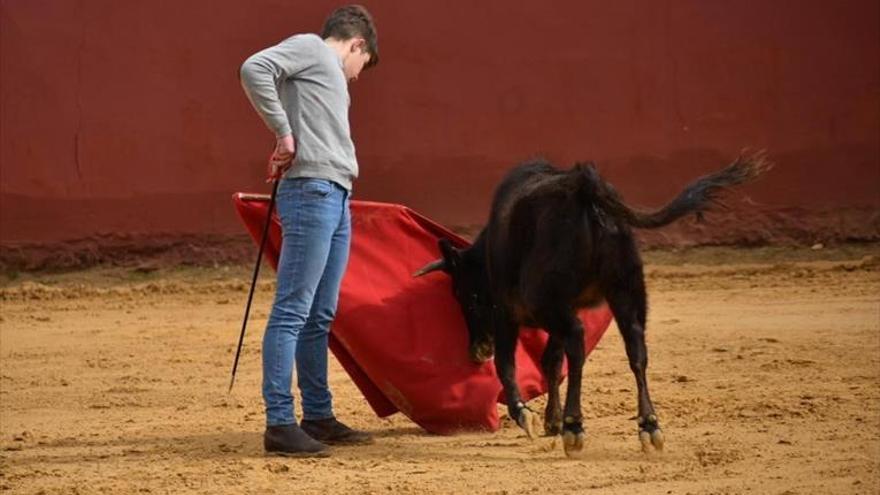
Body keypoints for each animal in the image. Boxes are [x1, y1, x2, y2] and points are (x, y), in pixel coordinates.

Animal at [416, 153, 768, 460]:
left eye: (465, 294)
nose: (477, 350)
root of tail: (583, 187)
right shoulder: (562, 307)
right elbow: (551, 360)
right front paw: (552, 420)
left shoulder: (508, 309)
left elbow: (510, 363)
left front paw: (528, 416)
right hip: (626, 290)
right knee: (636, 349)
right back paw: (649, 426)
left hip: (545, 299)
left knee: (577, 340)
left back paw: (575, 427)